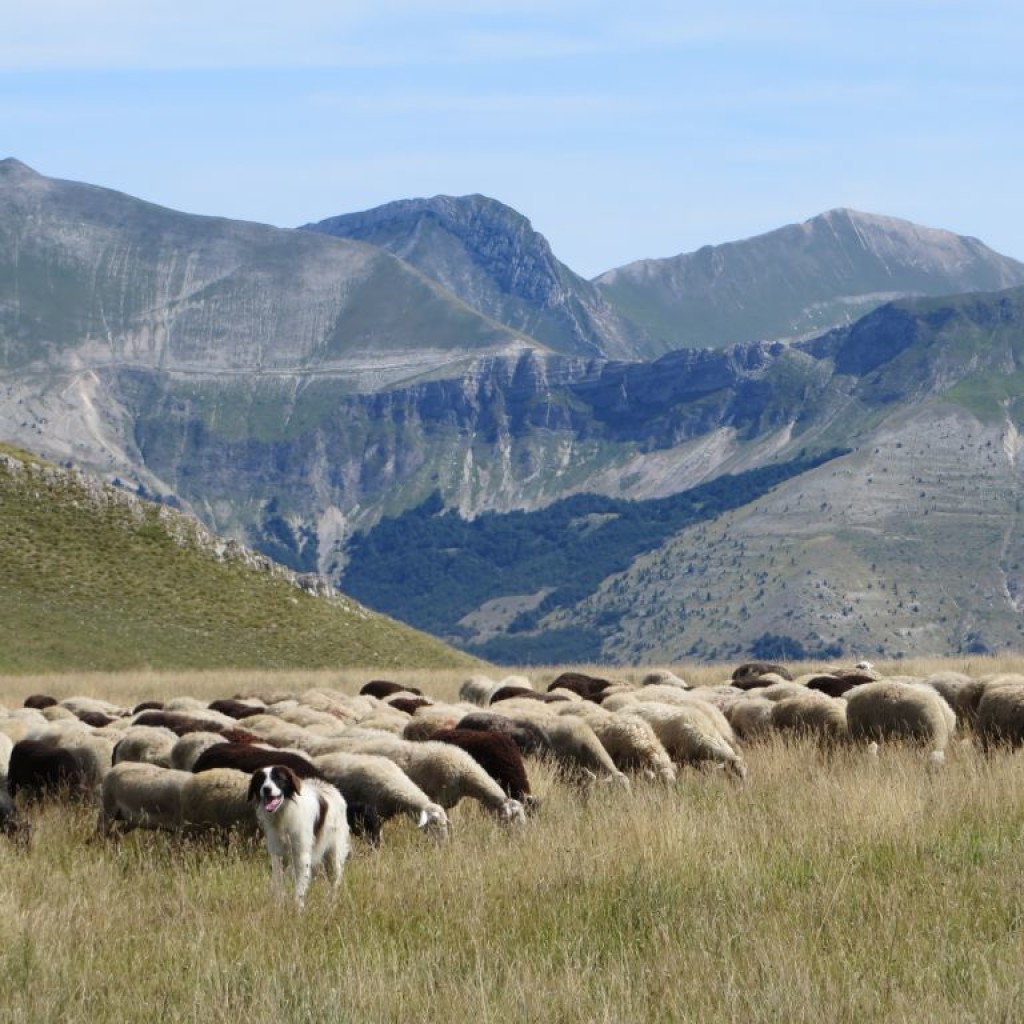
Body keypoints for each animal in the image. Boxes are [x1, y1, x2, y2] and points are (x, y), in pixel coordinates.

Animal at [245, 765, 350, 909]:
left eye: (279, 779)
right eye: (260, 780)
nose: (266, 789)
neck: (283, 813)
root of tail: (331, 788)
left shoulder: (301, 855)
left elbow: (300, 887)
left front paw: (298, 908)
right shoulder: (278, 855)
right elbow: (278, 883)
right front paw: (278, 905)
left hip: (333, 856)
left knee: (335, 881)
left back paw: (331, 904)